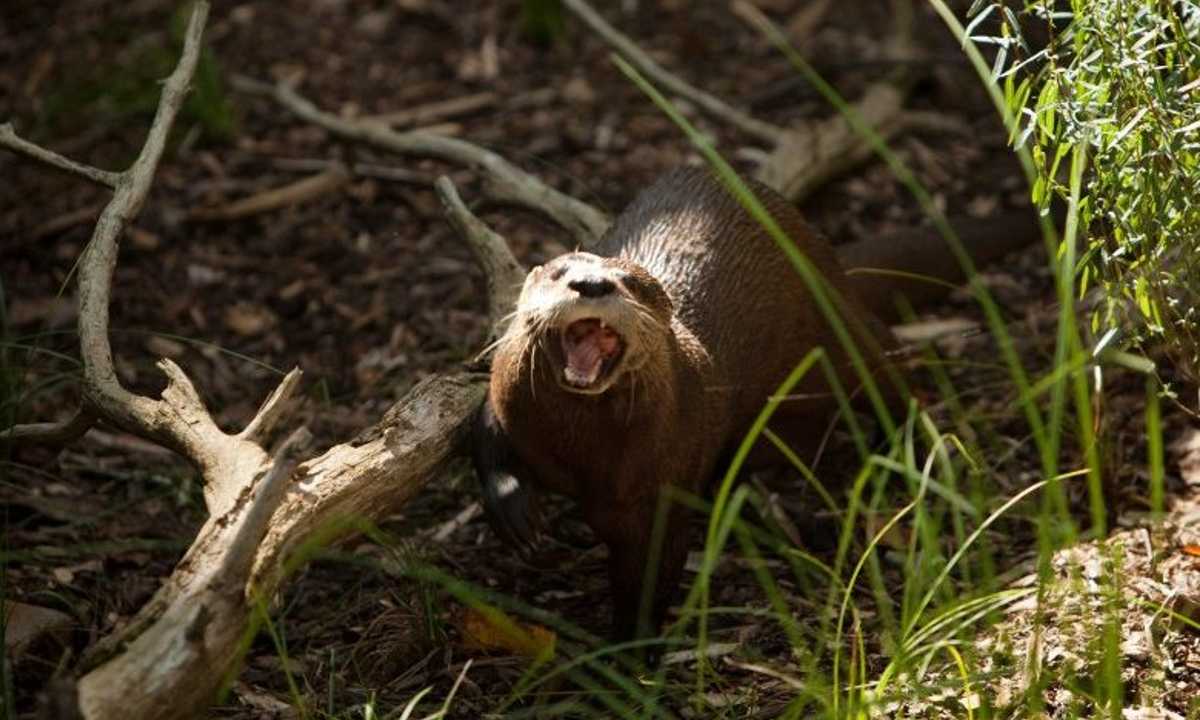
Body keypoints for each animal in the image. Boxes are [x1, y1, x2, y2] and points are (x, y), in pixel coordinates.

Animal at [477, 166, 1032, 643]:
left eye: (630, 282)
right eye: (560, 271)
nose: (591, 284)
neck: (581, 452)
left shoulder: (657, 485)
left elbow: (652, 571)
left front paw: (630, 653)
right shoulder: (503, 400)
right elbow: (484, 440)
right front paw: (516, 513)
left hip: (840, 327)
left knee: (891, 373)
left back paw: (905, 447)